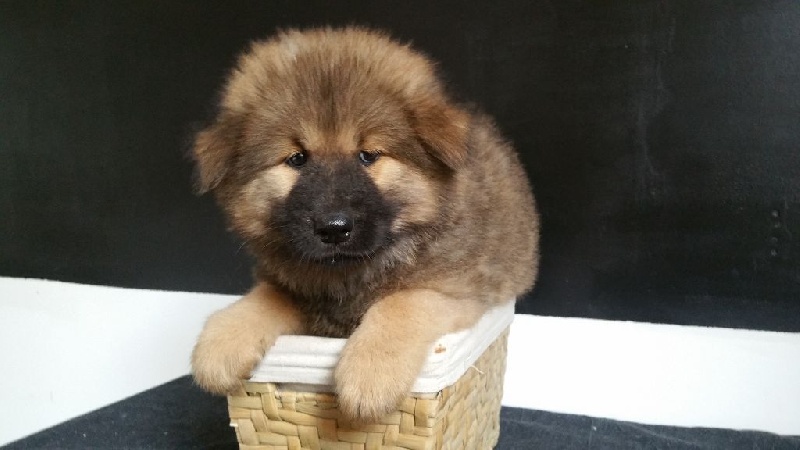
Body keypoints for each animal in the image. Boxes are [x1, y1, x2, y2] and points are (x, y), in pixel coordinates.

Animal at [190, 27, 539, 423]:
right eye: (297, 159)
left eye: (368, 155)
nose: (334, 228)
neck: (353, 273)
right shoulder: (298, 290)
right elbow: (264, 296)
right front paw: (223, 339)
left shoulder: (461, 292)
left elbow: (404, 301)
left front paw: (370, 372)